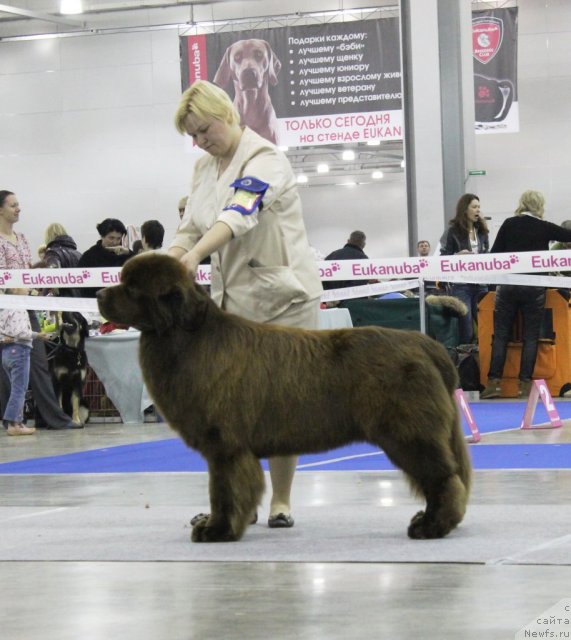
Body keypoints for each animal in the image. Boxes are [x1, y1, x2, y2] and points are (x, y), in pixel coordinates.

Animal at [98, 252, 472, 544]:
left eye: (131, 288)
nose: (100, 294)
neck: (188, 338)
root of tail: (424, 343)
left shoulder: (225, 446)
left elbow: (225, 490)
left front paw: (217, 530)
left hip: (409, 433)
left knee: (443, 479)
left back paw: (432, 526)